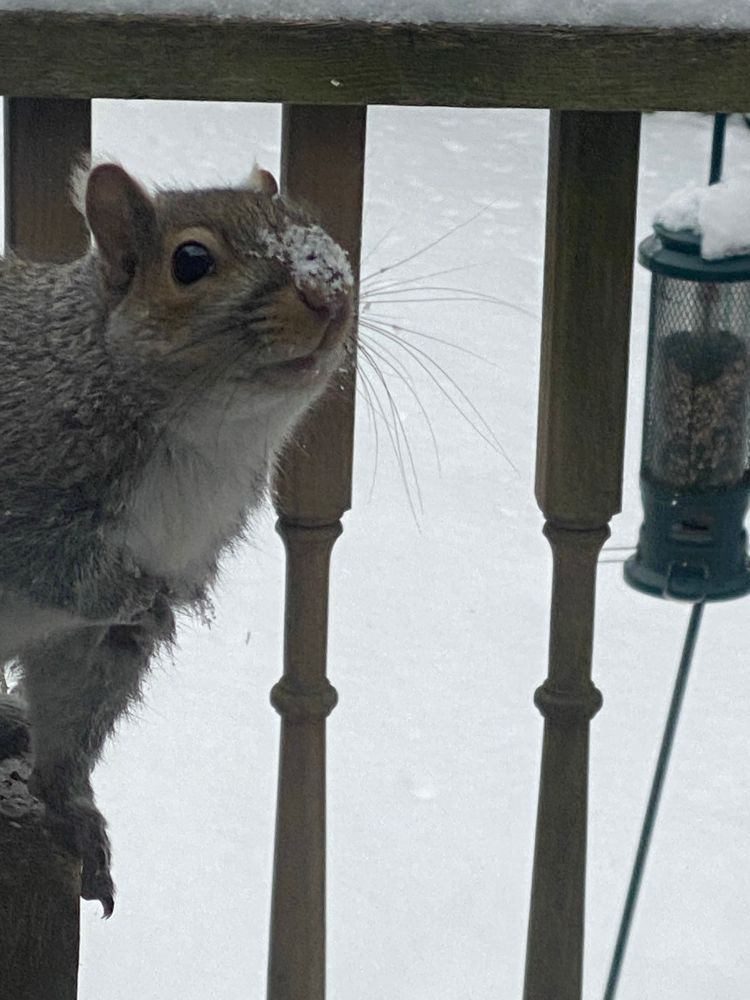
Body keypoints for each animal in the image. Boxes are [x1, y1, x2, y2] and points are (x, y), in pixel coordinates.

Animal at [0, 160, 354, 916]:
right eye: (191, 261)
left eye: (311, 225)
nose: (330, 293)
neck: (201, 440)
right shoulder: (19, 496)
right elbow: (54, 561)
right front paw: (134, 590)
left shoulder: (103, 634)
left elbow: (74, 718)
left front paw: (71, 814)